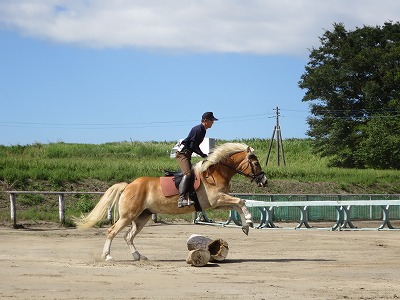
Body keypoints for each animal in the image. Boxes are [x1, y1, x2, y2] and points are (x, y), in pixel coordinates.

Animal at [75, 142, 268, 262]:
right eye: (255, 163)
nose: (264, 181)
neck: (216, 172)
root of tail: (129, 184)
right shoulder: (217, 199)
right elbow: (241, 201)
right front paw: (249, 220)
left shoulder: (216, 203)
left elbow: (237, 205)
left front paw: (245, 226)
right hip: (128, 215)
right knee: (112, 231)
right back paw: (107, 256)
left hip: (142, 217)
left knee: (128, 236)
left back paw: (138, 256)